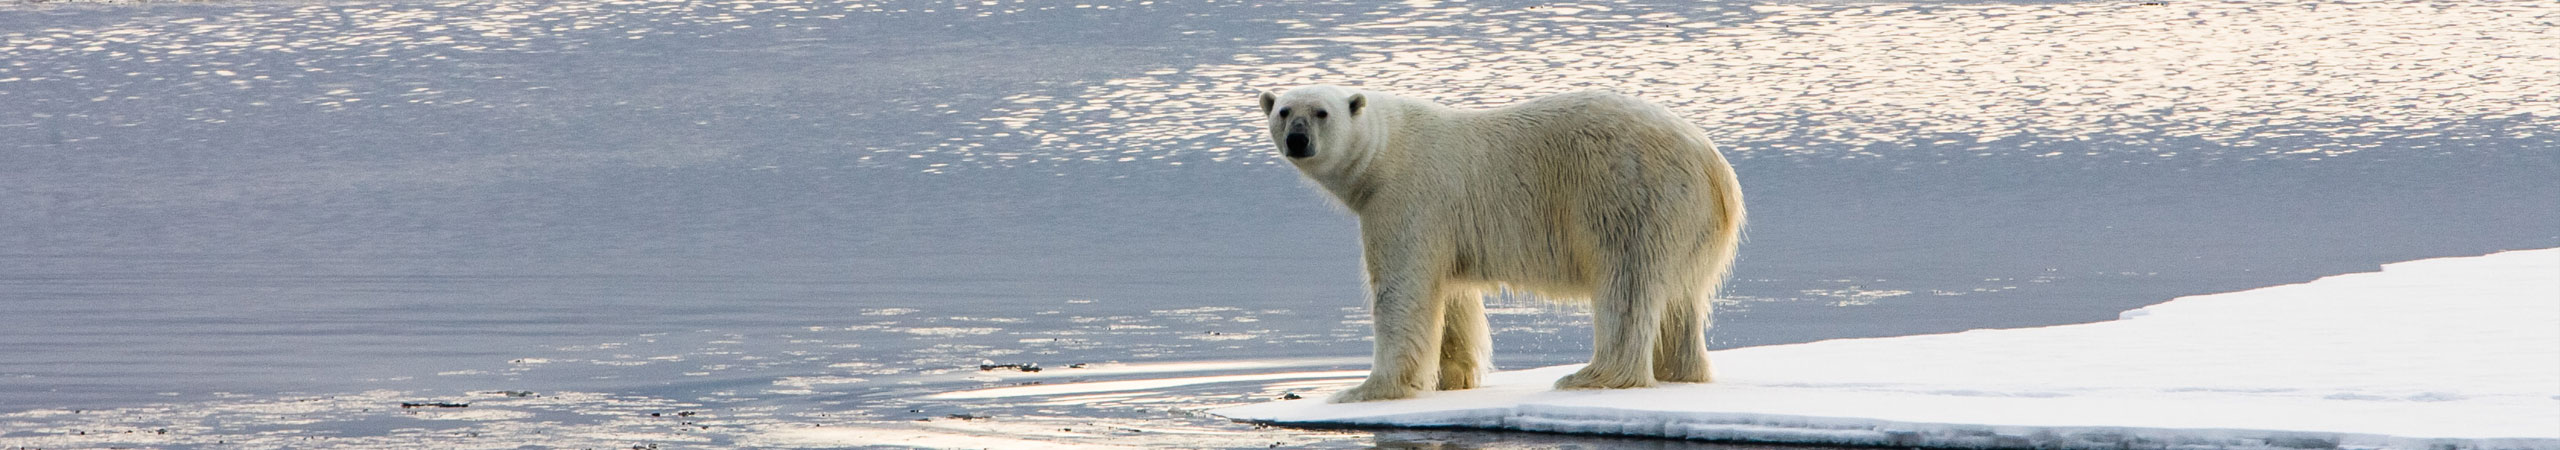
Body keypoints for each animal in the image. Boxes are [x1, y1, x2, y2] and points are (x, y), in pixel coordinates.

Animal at [1254, 86, 1740, 401]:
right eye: (1284, 111)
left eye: (1321, 112)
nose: (1298, 139)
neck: (1387, 152)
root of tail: (1715, 167)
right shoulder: (1445, 228)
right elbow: (1451, 298)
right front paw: (1452, 378)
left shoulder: (1407, 200)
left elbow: (1402, 293)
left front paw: (1365, 389)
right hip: (1687, 223)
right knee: (1680, 300)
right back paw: (1679, 371)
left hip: (1630, 196)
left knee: (1627, 285)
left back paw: (1592, 375)